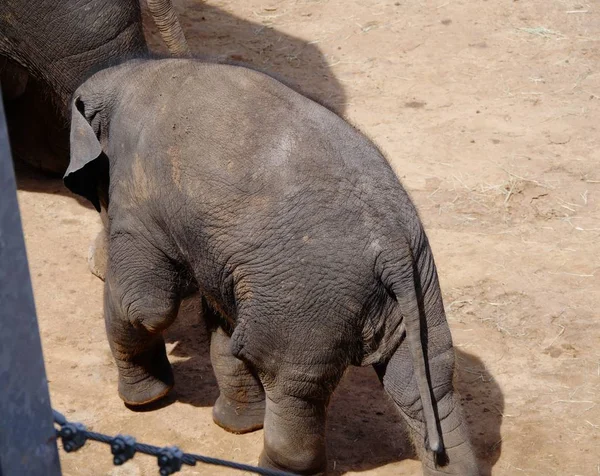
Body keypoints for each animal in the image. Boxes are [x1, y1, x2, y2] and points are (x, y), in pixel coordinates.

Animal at [64, 59, 478, 476]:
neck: (125, 75)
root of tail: (391, 245)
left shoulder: (141, 193)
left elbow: (143, 306)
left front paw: (145, 402)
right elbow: (223, 326)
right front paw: (236, 425)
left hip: (307, 300)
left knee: (291, 381)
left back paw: (273, 466)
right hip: (418, 286)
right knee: (425, 378)